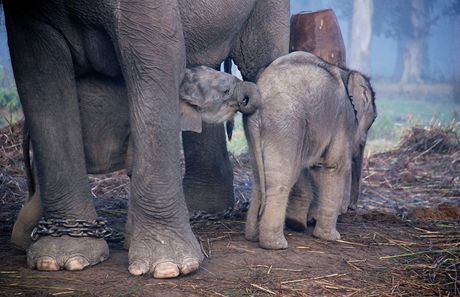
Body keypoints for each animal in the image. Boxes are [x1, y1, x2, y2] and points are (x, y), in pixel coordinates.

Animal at [243, 52, 376, 249]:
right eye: (373, 121)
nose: (351, 208)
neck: (347, 73)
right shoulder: (343, 119)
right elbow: (335, 166)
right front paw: (331, 237)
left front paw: (300, 223)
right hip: (285, 125)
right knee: (280, 180)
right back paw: (276, 245)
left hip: (255, 130)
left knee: (261, 180)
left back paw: (252, 237)